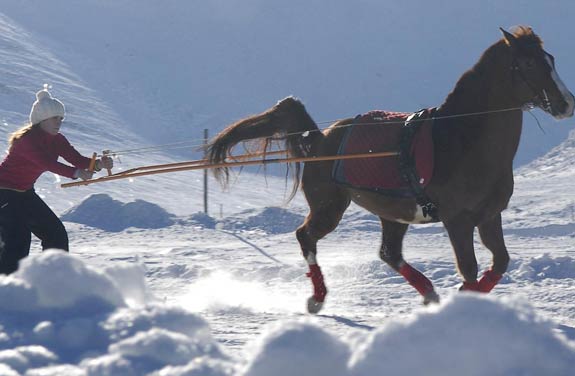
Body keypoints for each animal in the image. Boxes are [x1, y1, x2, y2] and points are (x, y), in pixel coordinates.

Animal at [208, 26, 575, 312]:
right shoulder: (458, 221)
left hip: (392, 214)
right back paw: (318, 297)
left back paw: (429, 294)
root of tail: (319, 139)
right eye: (529, 63)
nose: (566, 104)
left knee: (388, 253)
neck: (463, 139)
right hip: (330, 207)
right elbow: (469, 269)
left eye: (551, 60)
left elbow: (499, 263)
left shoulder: (489, 216)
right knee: (306, 236)